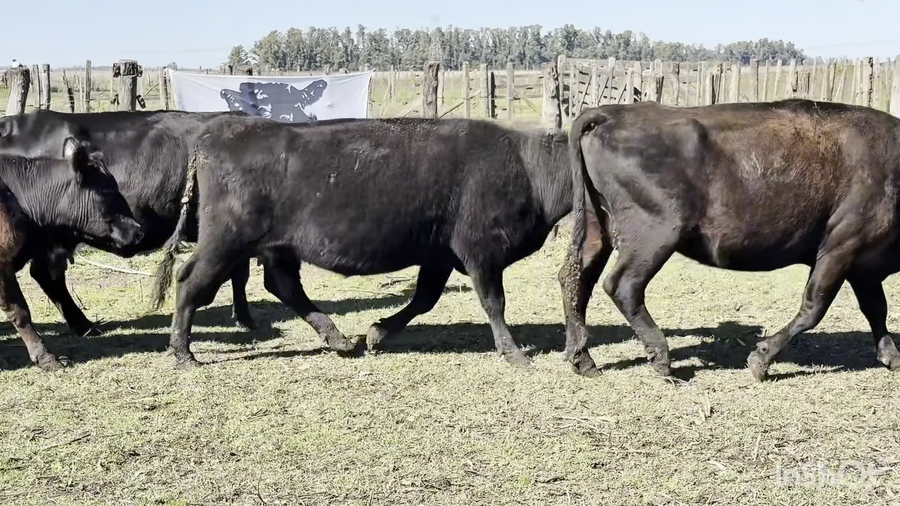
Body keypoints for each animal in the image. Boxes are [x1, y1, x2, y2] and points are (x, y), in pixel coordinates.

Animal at [0, 137, 143, 371]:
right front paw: (46, 358)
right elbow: (20, 311)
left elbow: (56, 287)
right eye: (107, 192)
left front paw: (85, 326)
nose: (139, 232)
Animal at [149, 116, 573, 369]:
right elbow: (494, 303)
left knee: (283, 286)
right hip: (225, 242)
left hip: (274, 247)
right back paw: (183, 352)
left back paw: (339, 339)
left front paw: (377, 333)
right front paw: (513, 352)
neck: (529, 166)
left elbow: (424, 298)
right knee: (191, 283)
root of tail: (217, 134)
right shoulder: (481, 253)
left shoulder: (439, 254)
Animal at [558, 98, 900, 382]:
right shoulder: (840, 248)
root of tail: (611, 113)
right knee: (623, 285)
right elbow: (814, 307)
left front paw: (892, 357)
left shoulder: (863, 266)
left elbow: (876, 309)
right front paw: (760, 360)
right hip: (656, 235)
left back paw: (582, 359)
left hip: (598, 228)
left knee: (576, 279)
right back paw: (662, 360)